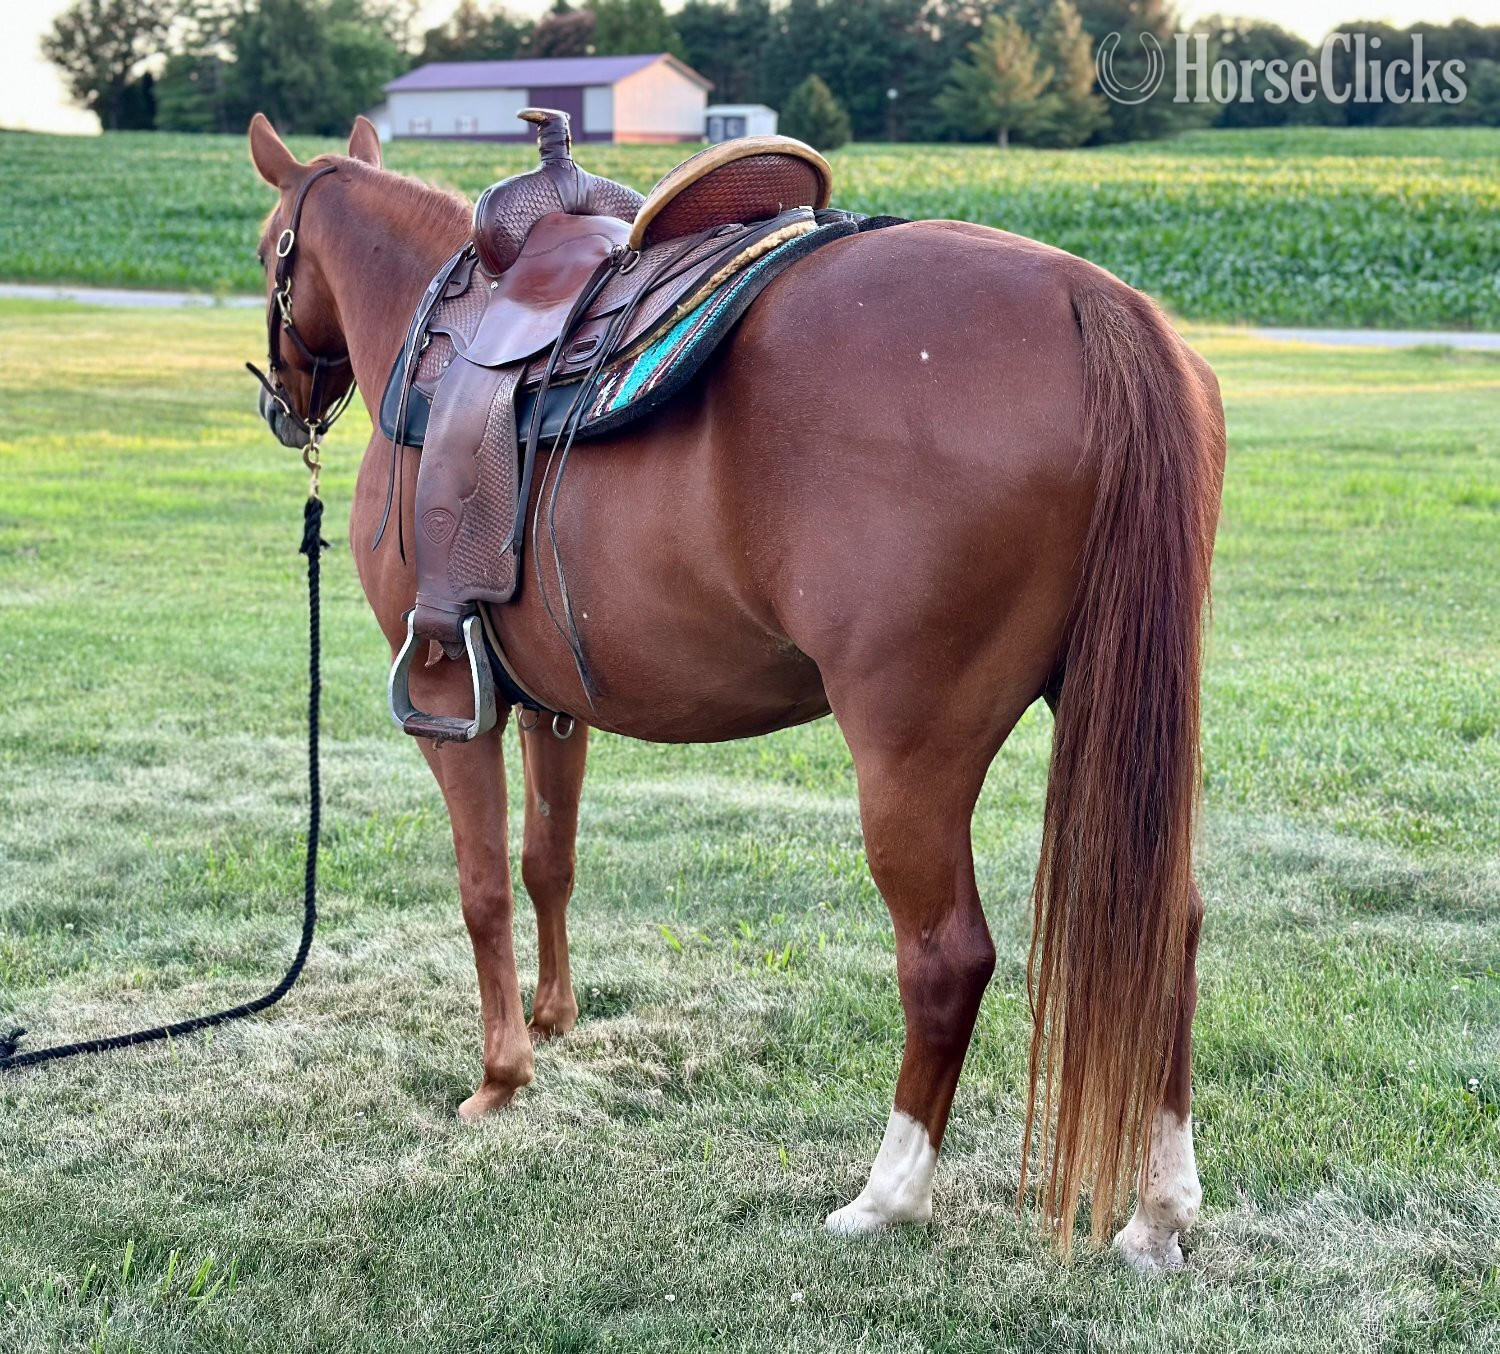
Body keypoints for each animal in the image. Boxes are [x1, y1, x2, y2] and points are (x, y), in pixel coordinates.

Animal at [247, 113, 1225, 1268]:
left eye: (269, 251)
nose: (280, 400)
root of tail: (1092, 302)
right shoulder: (551, 704)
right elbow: (547, 863)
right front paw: (554, 1019)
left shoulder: (451, 704)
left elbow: (482, 889)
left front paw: (499, 1078)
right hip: (1120, 724)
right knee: (1170, 926)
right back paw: (1158, 1211)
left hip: (911, 752)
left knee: (947, 960)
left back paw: (888, 1193)